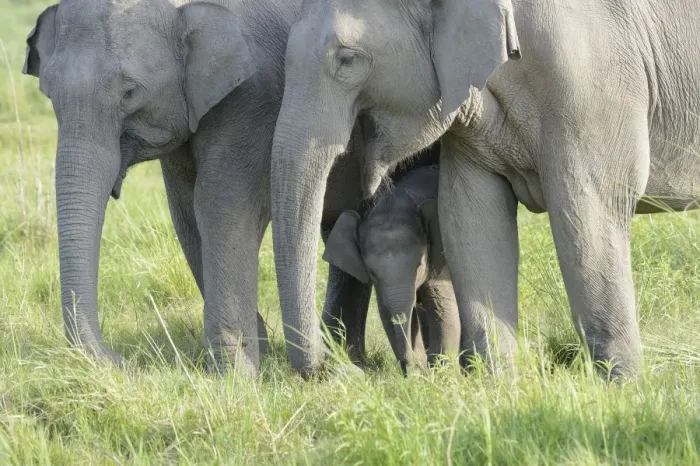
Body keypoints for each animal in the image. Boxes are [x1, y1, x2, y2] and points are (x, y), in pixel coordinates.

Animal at [323, 166, 460, 374]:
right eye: (372, 273)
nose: (407, 364)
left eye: (419, 265)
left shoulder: (441, 259)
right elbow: (386, 312)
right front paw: (417, 373)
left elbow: (443, 308)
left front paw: (439, 374)